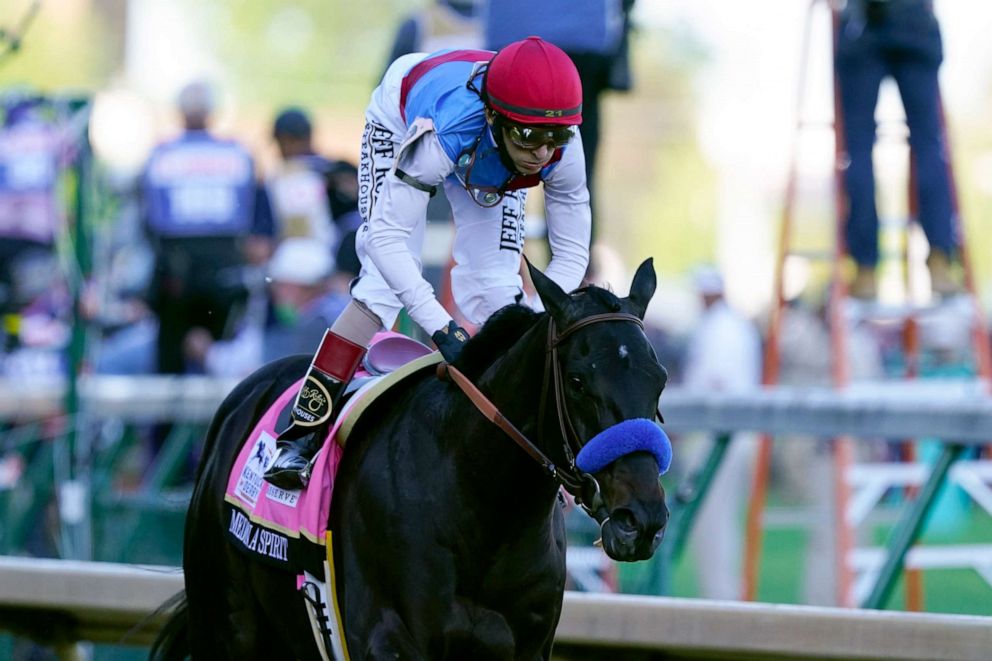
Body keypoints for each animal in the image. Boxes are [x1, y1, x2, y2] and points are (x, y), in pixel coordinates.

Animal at [151, 258, 672, 660]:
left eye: (660, 379)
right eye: (578, 381)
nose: (640, 520)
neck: (482, 508)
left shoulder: (525, 647)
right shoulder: (390, 640)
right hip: (226, 625)